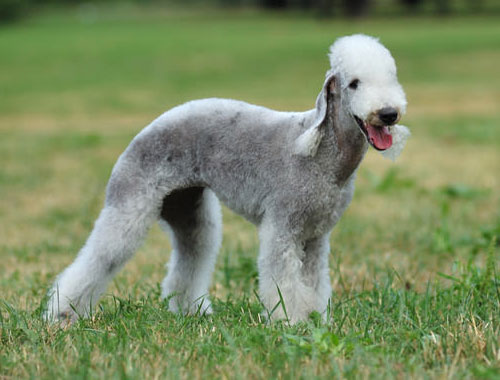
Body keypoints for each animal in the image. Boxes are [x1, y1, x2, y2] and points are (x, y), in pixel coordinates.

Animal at [45, 34, 408, 324]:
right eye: (354, 83)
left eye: (392, 77)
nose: (389, 113)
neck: (324, 155)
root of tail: (144, 131)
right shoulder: (282, 229)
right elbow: (284, 282)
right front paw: (291, 323)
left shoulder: (316, 237)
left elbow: (314, 283)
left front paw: (317, 320)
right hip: (128, 207)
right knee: (98, 258)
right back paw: (61, 314)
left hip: (190, 211)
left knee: (189, 259)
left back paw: (190, 311)